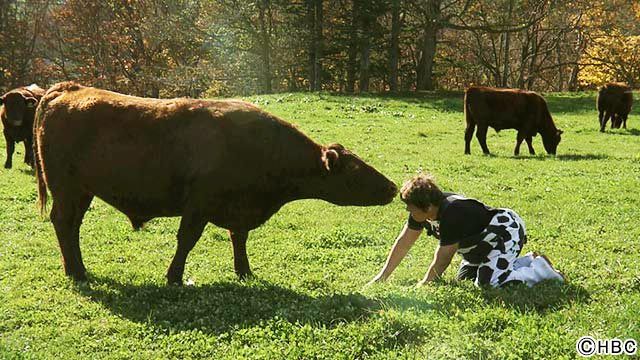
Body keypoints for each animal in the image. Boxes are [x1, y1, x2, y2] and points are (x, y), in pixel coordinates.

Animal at [33, 81, 400, 284]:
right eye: (356, 171)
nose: (393, 187)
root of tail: (67, 89)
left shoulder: (237, 210)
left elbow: (239, 238)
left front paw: (244, 272)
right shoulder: (199, 206)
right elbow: (186, 241)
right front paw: (174, 277)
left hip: (82, 192)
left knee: (71, 226)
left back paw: (76, 269)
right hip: (67, 190)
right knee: (63, 223)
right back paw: (77, 272)